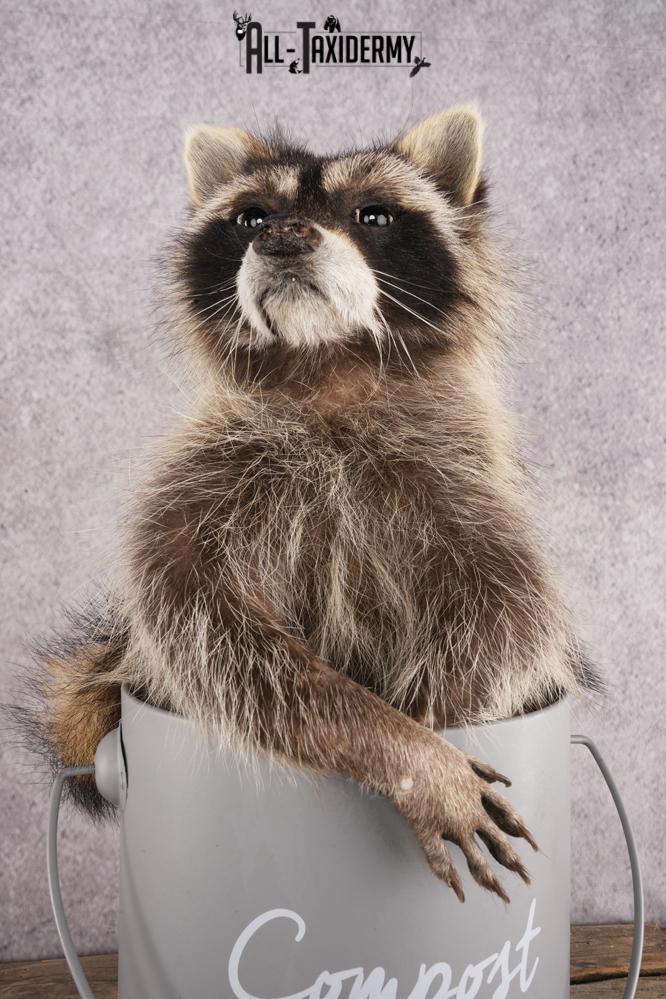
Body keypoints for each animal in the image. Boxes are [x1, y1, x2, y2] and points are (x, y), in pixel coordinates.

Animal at [25, 106, 597, 903]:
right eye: (252, 216)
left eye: (374, 214)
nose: (284, 237)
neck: (325, 364)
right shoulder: (195, 485)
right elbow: (222, 643)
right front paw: (403, 749)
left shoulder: (468, 484)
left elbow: (506, 621)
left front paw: (428, 720)